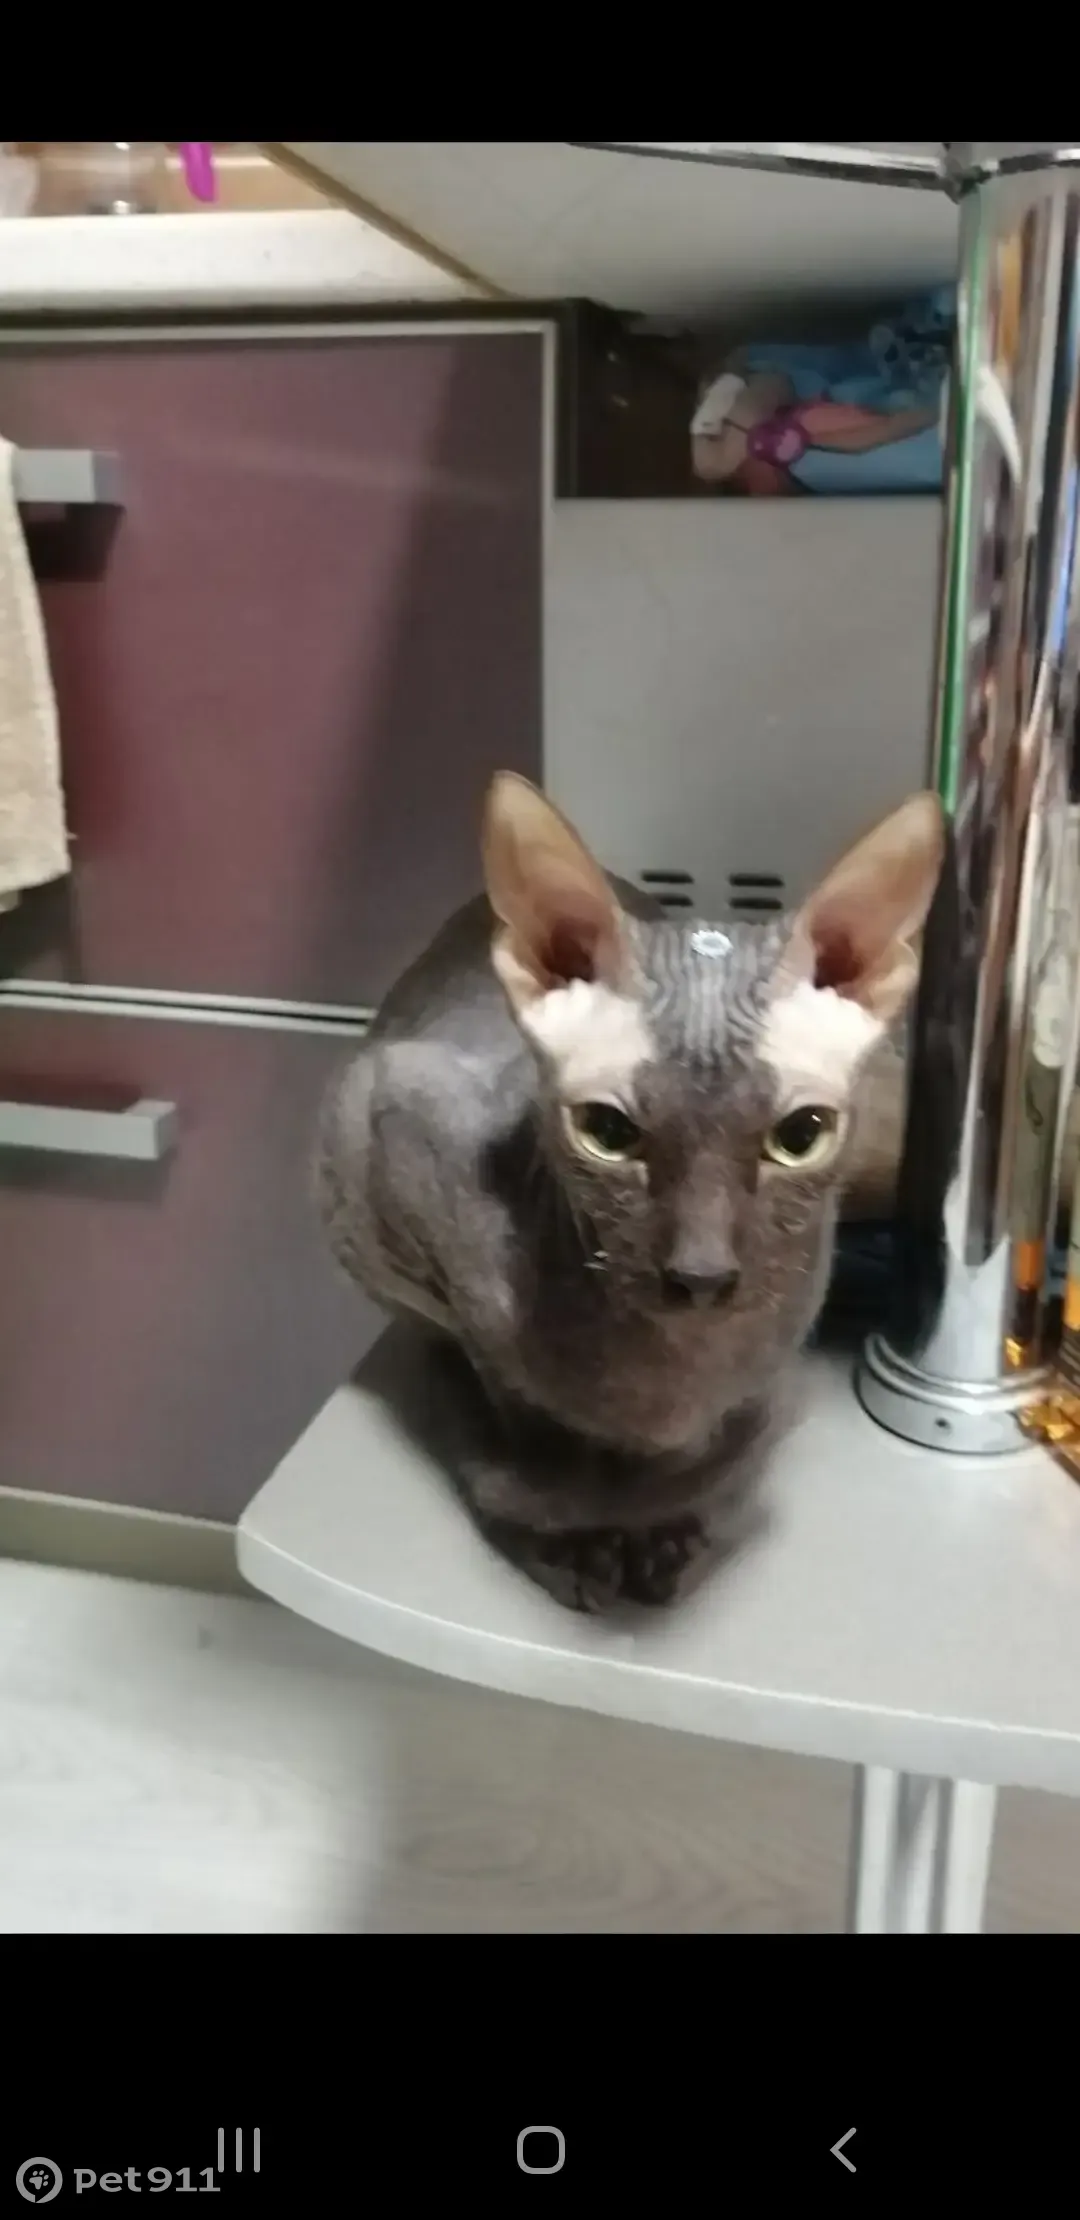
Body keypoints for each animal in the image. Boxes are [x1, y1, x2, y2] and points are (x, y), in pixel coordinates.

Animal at [317, 774, 944, 1614]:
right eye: (608, 1132)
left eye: (800, 1134)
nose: (702, 1276)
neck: (675, 1370)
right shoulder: (389, 1123)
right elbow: (508, 1390)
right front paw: (569, 1524)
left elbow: (709, 1447)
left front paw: (659, 1517)